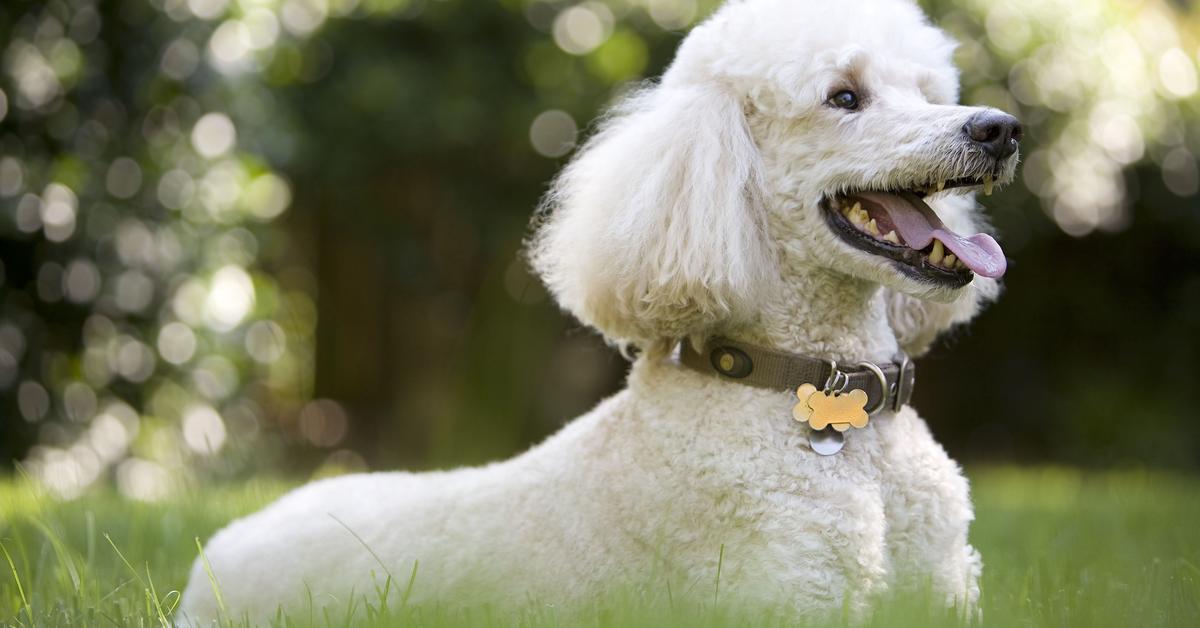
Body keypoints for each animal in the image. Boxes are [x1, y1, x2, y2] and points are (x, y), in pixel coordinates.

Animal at [180, 0, 1022, 619]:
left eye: (929, 92)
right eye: (844, 96)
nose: (1002, 129)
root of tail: (212, 553)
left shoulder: (945, 589)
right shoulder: (788, 594)